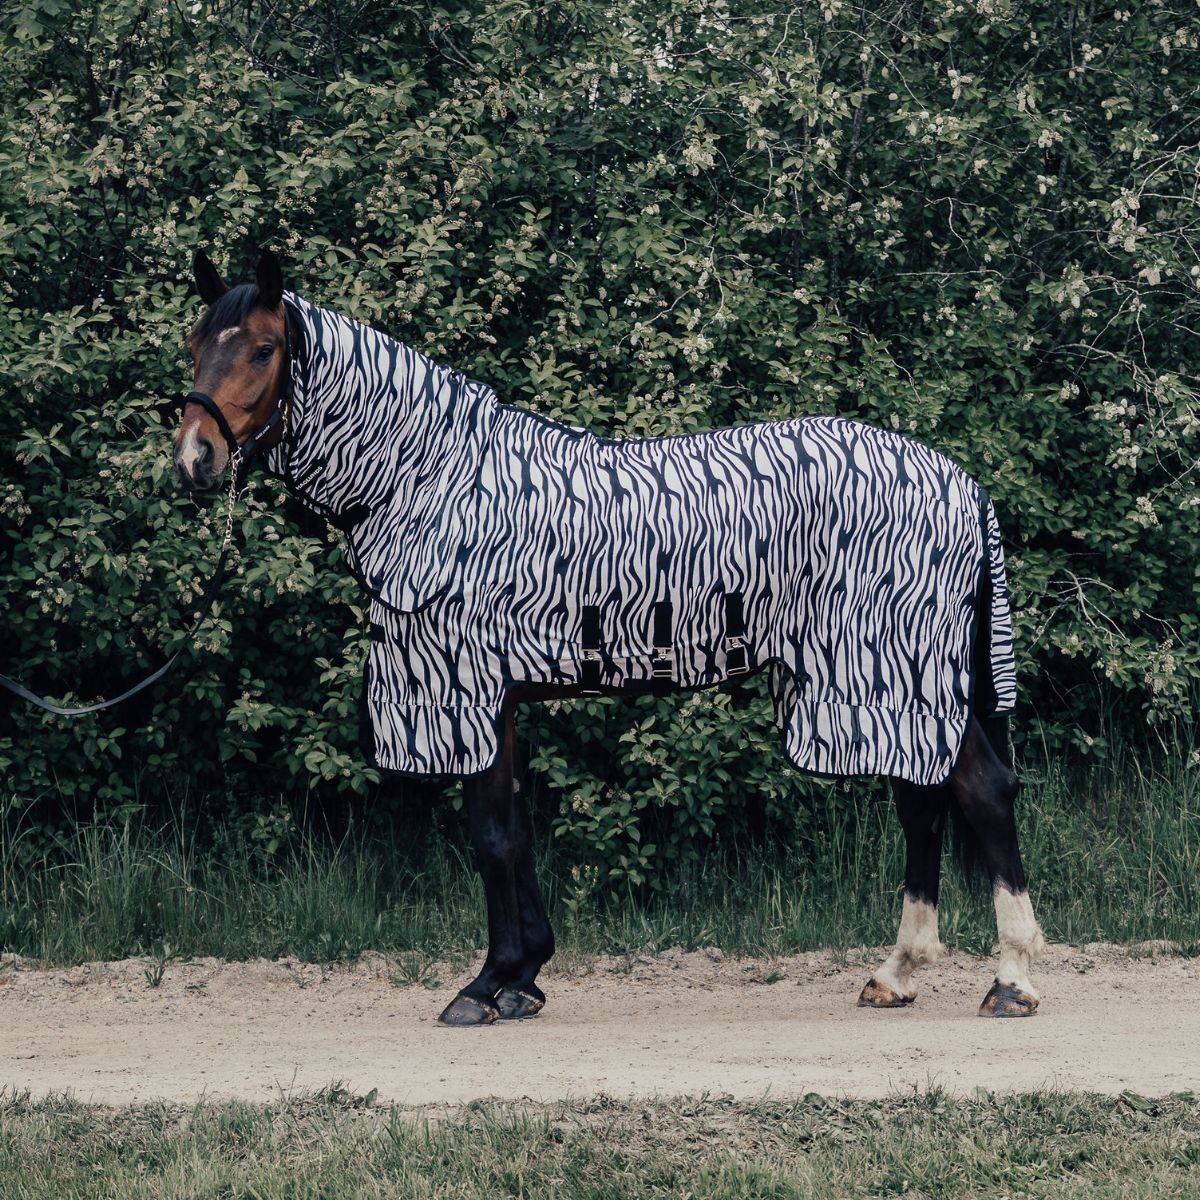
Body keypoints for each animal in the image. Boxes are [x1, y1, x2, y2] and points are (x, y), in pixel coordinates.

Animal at [175, 248, 1045, 1025]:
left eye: (262, 348)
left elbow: (491, 835)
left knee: (979, 794)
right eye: (195, 342)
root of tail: (963, 485)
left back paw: (1011, 980)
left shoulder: (467, 686)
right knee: (924, 802)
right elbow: (515, 829)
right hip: (893, 684)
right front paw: (523, 977)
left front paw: (486, 986)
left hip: (891, 672)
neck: (436, 479)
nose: (194, 457)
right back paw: (898, 974)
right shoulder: (500, 698)